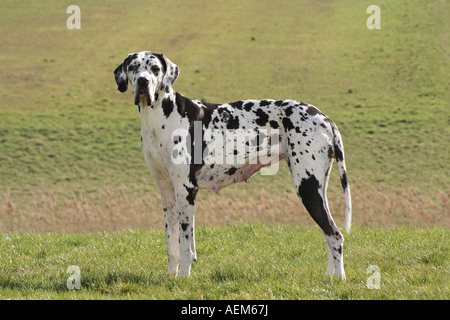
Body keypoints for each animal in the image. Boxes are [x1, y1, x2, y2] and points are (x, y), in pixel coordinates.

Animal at [112, 51, 352, 278]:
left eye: (155, 68)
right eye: (134, 67)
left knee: (335, 235)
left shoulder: (186, 189)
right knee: (328, 233)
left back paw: (338, 279)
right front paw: (171, 275)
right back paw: (329, 276)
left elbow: (186, 244)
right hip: (317, 188)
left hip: (307, 188)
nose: (143, 81)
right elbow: (172, 243)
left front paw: (184, 277)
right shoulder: (167, 192)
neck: (160, 118)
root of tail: (325, 118)